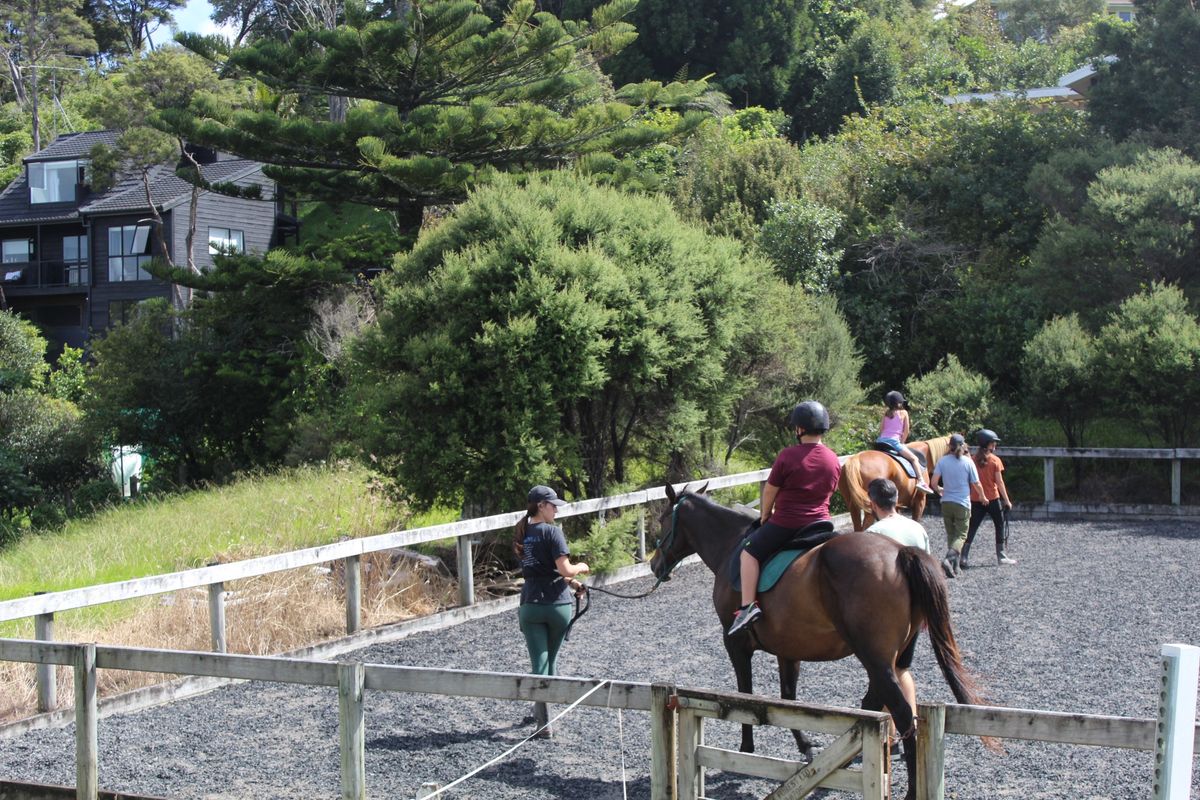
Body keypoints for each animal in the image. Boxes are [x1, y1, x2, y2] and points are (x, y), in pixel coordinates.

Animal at [648, 482, 984, 800]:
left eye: (663, 520)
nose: (654, 565)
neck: (731, 545)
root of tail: (901, 553)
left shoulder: (736, 644)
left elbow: (745, 694)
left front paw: (746, 749)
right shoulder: (788, 650)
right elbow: (789, 699)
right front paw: (807, 747)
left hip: (874, 658)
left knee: (900, 713)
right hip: (891, 658)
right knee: (876, 702)